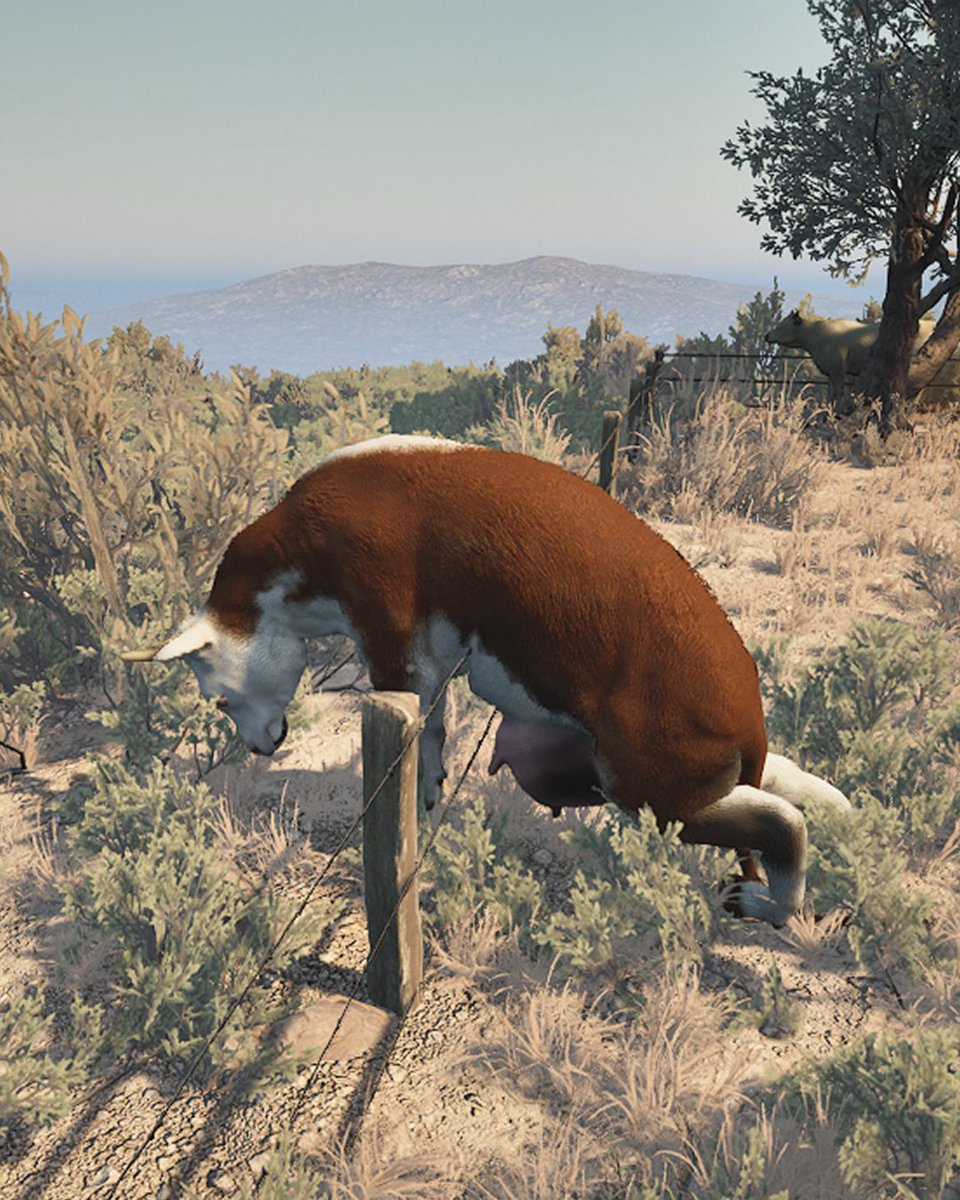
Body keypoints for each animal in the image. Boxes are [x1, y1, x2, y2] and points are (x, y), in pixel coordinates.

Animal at [122, 436, 850, 926]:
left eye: (218, 697)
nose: (259, 747)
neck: (301, 543)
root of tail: (750, 717)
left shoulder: (390, 637)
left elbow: (412, 732)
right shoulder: (429, 661)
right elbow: (433, 732)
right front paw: (432, 793)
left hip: (649, 790)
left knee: (783, 823)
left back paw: (768, 903)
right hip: (692, 781)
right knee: (800, 789)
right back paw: (841, 821)